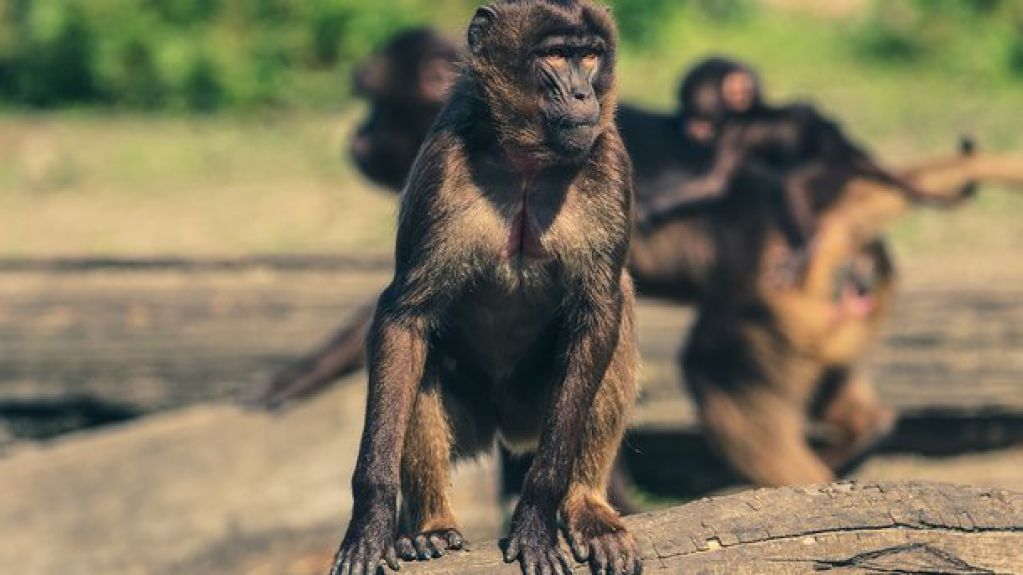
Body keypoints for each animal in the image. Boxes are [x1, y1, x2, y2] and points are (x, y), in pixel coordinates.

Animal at [329, 3, 642, 575]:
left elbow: (599, 311)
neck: (527, 161)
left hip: (535, 408)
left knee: (618, 309)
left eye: (589, 55)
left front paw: (537, 515)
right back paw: (430, 526)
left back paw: (586, 506)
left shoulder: (609, 160)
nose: (582, 94)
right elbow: (403, 318)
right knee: (418, 352)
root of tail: (505, 427)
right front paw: (371, 521)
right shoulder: (442, 164)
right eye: (555, 55)